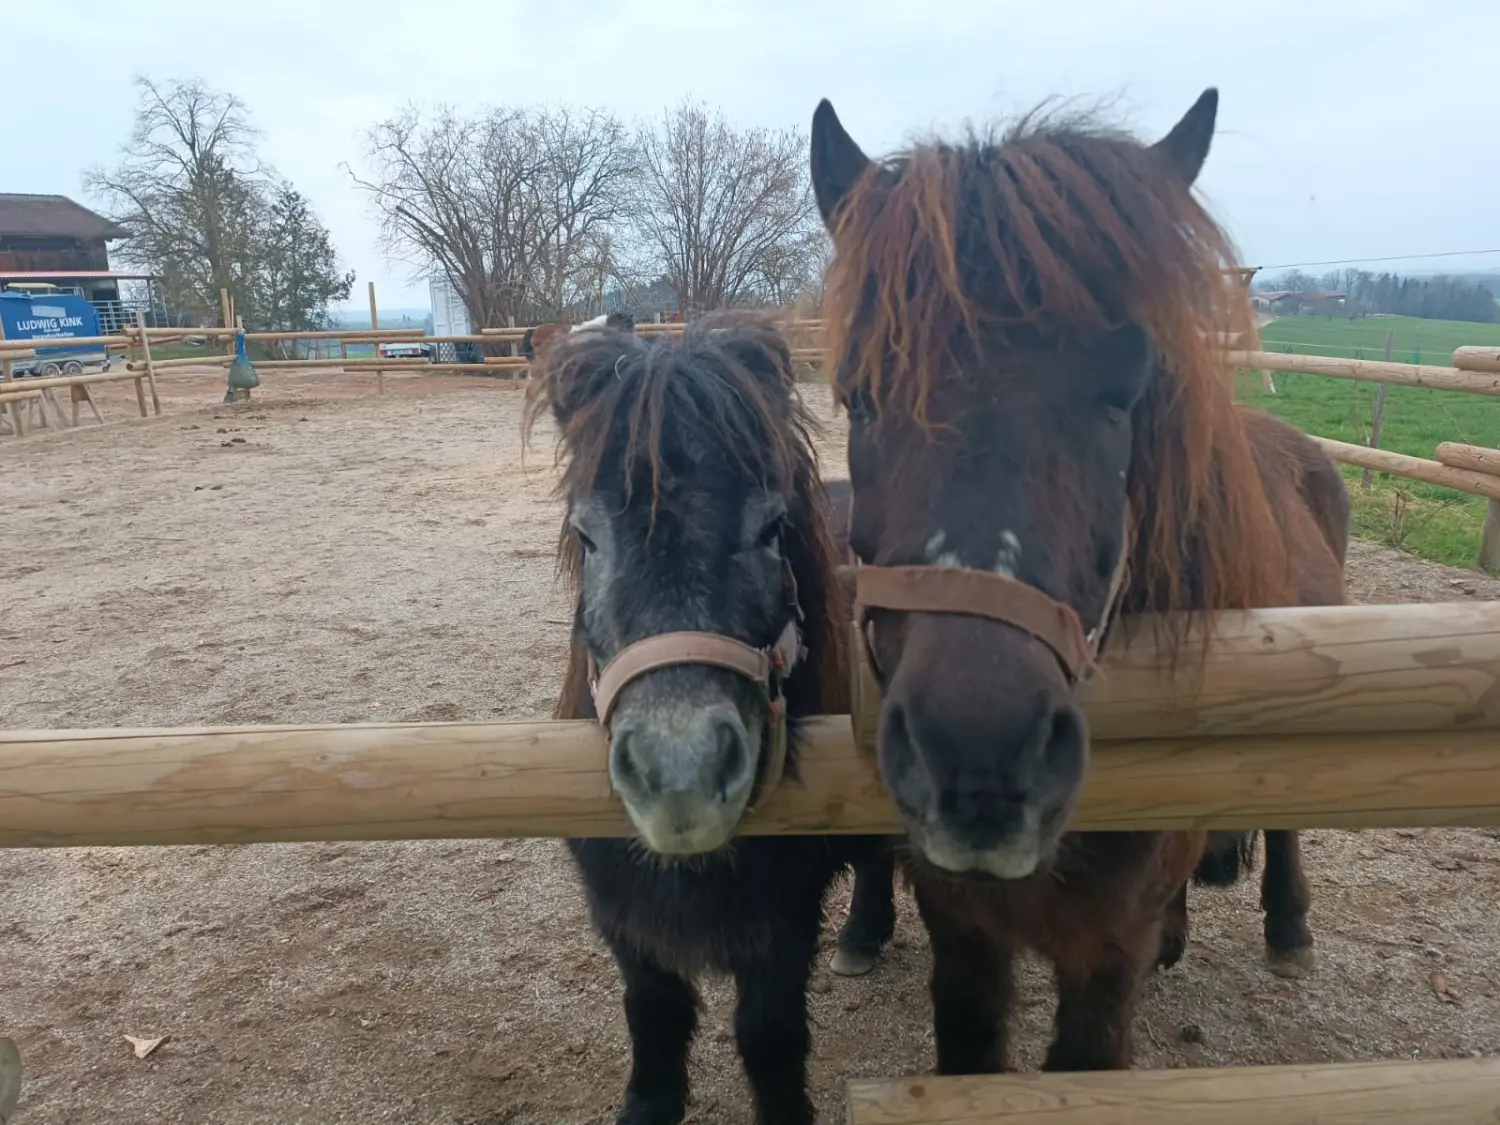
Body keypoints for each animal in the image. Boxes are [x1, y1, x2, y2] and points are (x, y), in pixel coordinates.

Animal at [525, 310, 888, 1125]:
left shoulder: (784, 920)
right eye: (586, 536)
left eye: (772, 528)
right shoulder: (621, 912)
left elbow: (770, 1034)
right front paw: (649, 1103)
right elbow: (653, 1012)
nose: (679, 776)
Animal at [810, 90, 1350, 1074]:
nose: (978, 757)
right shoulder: (961, 927)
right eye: (859, 392)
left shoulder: (1106, 950)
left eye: (1123, 391)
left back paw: (1289, 930)